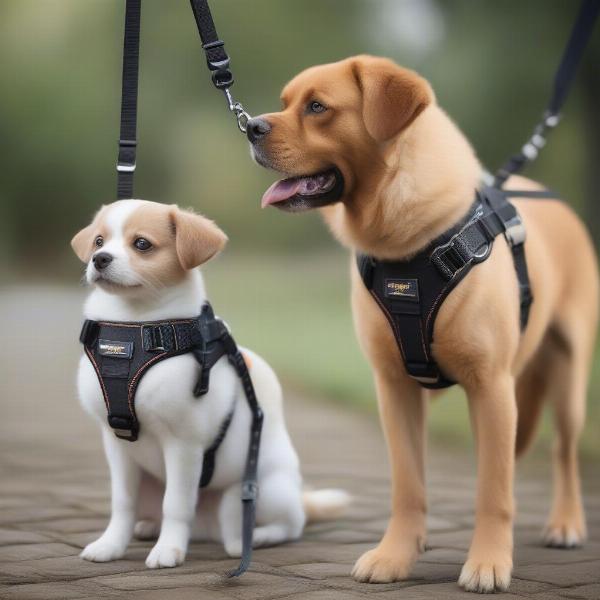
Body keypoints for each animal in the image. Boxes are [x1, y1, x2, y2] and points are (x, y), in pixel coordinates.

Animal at [72, 199, 350, 568]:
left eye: (141, 244)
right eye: (99, 241)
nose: (99, 259)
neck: (135, 327)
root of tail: (207, 529)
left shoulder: (183, 444)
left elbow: (176, 504)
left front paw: (168, 549)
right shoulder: (116, 444)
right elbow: (122, 502)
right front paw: (111, 545)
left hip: (253, 492)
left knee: (284, 526)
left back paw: (253, 539)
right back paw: (150, 528)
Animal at [246, 55, 596, 592]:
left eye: (317, 107)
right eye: (285, 103)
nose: (251, 127)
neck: (407, 247)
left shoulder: (491, 386)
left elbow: (494, 490)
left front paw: (488, 562)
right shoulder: (395, 387)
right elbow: (409, 485)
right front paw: (396, 555)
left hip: (568, 374)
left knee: (562, 451)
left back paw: (565, 523)